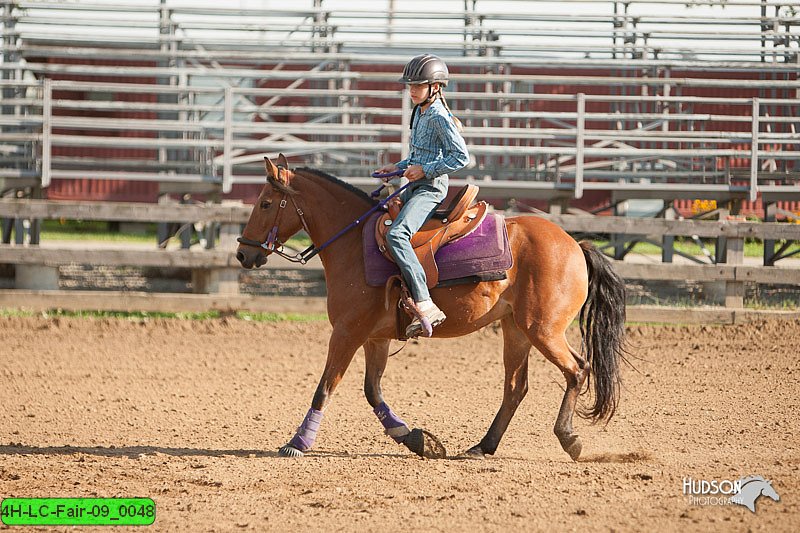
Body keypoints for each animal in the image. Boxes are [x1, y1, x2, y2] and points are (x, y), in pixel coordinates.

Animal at [234, 156, 628, 460]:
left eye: (265, 203)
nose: (242, 253)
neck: (353, 244)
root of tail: (574, 244)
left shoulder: (347, 332)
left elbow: (325, 387)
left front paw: (297, 442)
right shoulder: (375, 338)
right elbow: (372, 391)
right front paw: (417, 439)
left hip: (543, 329)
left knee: (577, 369)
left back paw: (569, 438)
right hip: (516, 330)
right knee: (516, 387)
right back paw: (483, 447)